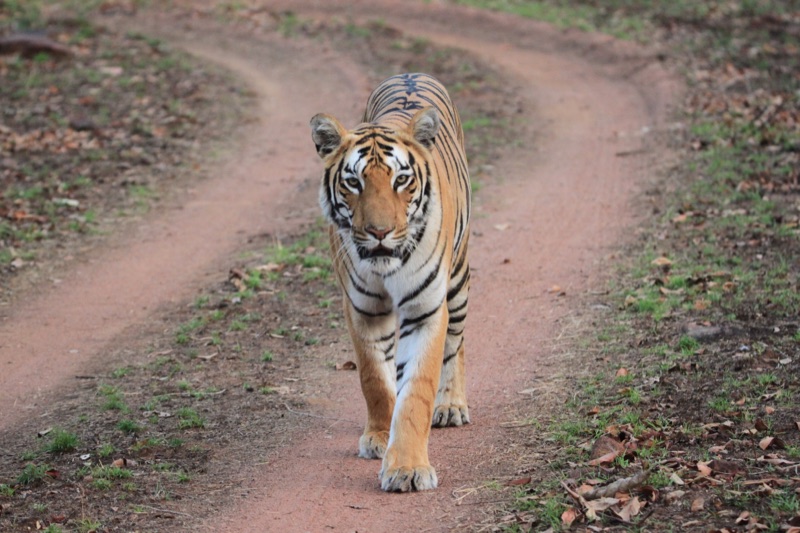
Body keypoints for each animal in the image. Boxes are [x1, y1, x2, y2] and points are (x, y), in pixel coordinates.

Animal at [310, 73, 471, 492]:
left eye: (401, 180)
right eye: (353, 182)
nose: (379, 232)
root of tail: (411, 73)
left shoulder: (426, 310)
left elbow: (417, 390)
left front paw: (408, 468)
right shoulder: (362, 310)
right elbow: (375, 380)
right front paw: (380, 437)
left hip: (458, 281)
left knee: (457, 343)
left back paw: (451, 405)